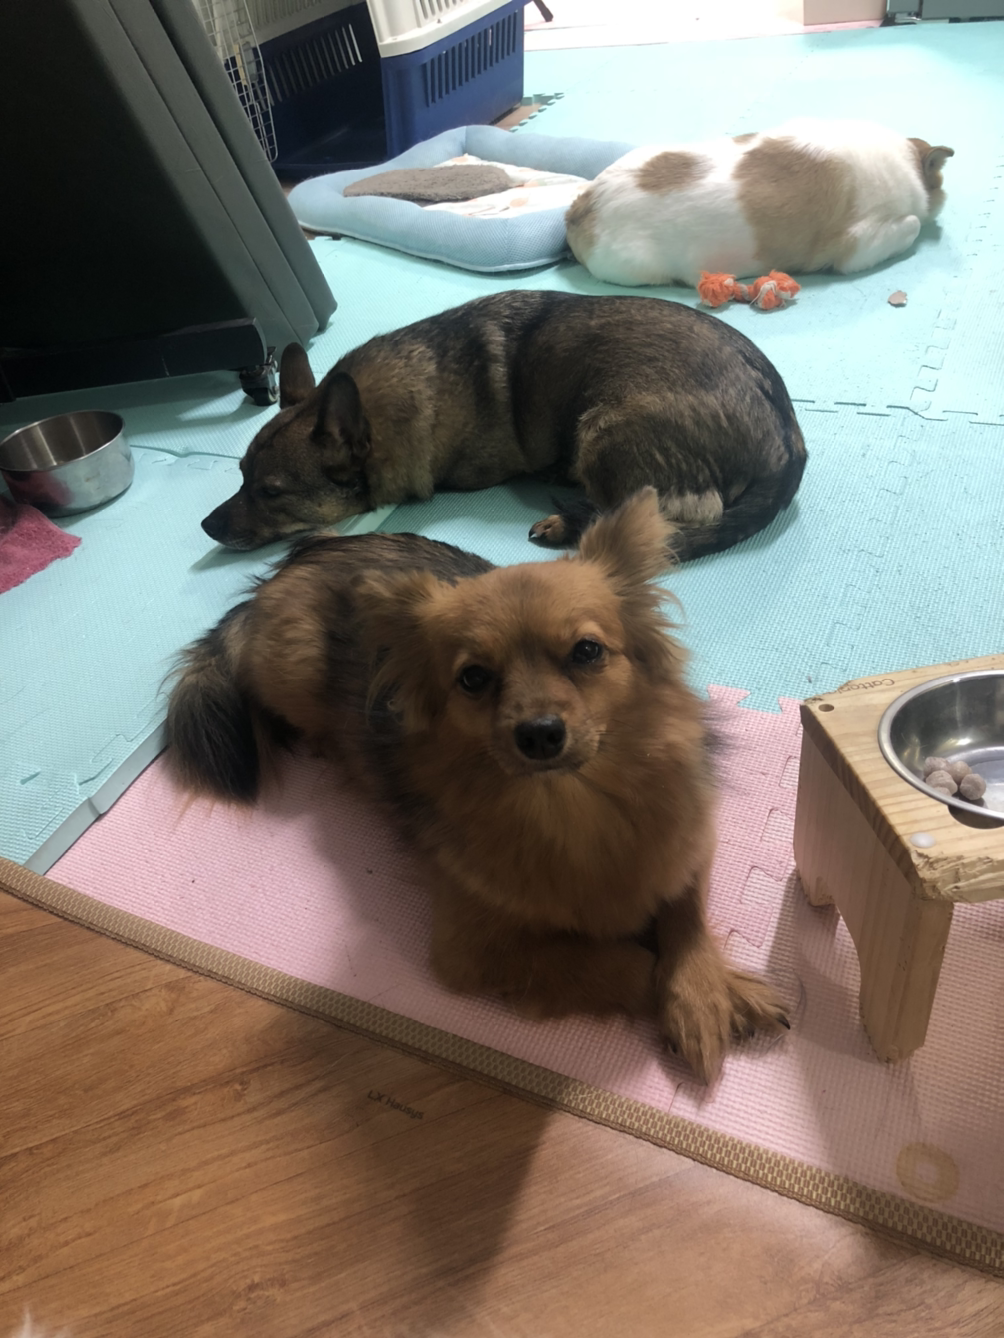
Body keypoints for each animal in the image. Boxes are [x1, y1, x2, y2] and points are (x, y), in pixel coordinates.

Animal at [169, 490, 789, 1082]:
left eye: (587, 651)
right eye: (473, 678)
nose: (539, 733)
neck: (575, 807)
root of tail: (295, 560)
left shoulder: (689, 845)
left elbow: (686, 919)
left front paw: (708, 997)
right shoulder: (473, 952)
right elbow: (630, 963)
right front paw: (699, 995)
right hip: (295, 672)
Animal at [201, 290, 806, 564]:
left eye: (271, 492)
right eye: (239, 475)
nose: (206, 526)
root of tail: (790, 441)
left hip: (603, 429)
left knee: (665, 519)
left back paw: (568, 524)